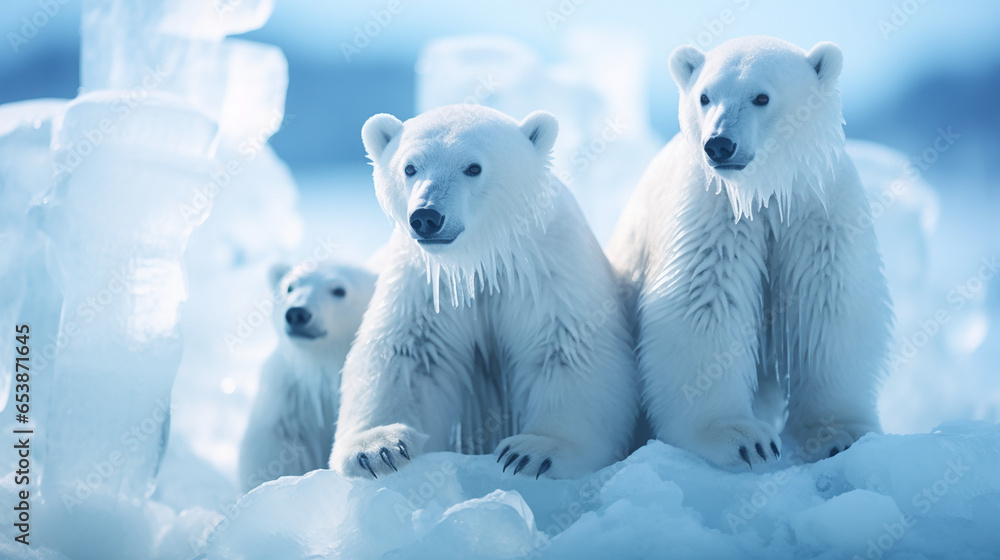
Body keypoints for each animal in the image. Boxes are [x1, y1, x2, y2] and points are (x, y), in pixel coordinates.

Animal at [328, 105, 639, 480]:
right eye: (409, 167)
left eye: (473, 167)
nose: (426, 216)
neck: (478, 258)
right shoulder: (426, 285)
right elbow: (407, 356)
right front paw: (377, 449)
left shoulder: (548, 272)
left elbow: (569, 349)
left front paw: (534, 453)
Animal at [606, 36, 893, 469]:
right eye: (704, 96)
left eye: (761, 97)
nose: (720, 144)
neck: (764, 191)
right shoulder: (713, 212)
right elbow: (703, 306)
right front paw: (743, 439)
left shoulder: (818, 210)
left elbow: (828, 309)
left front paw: (839, 435)